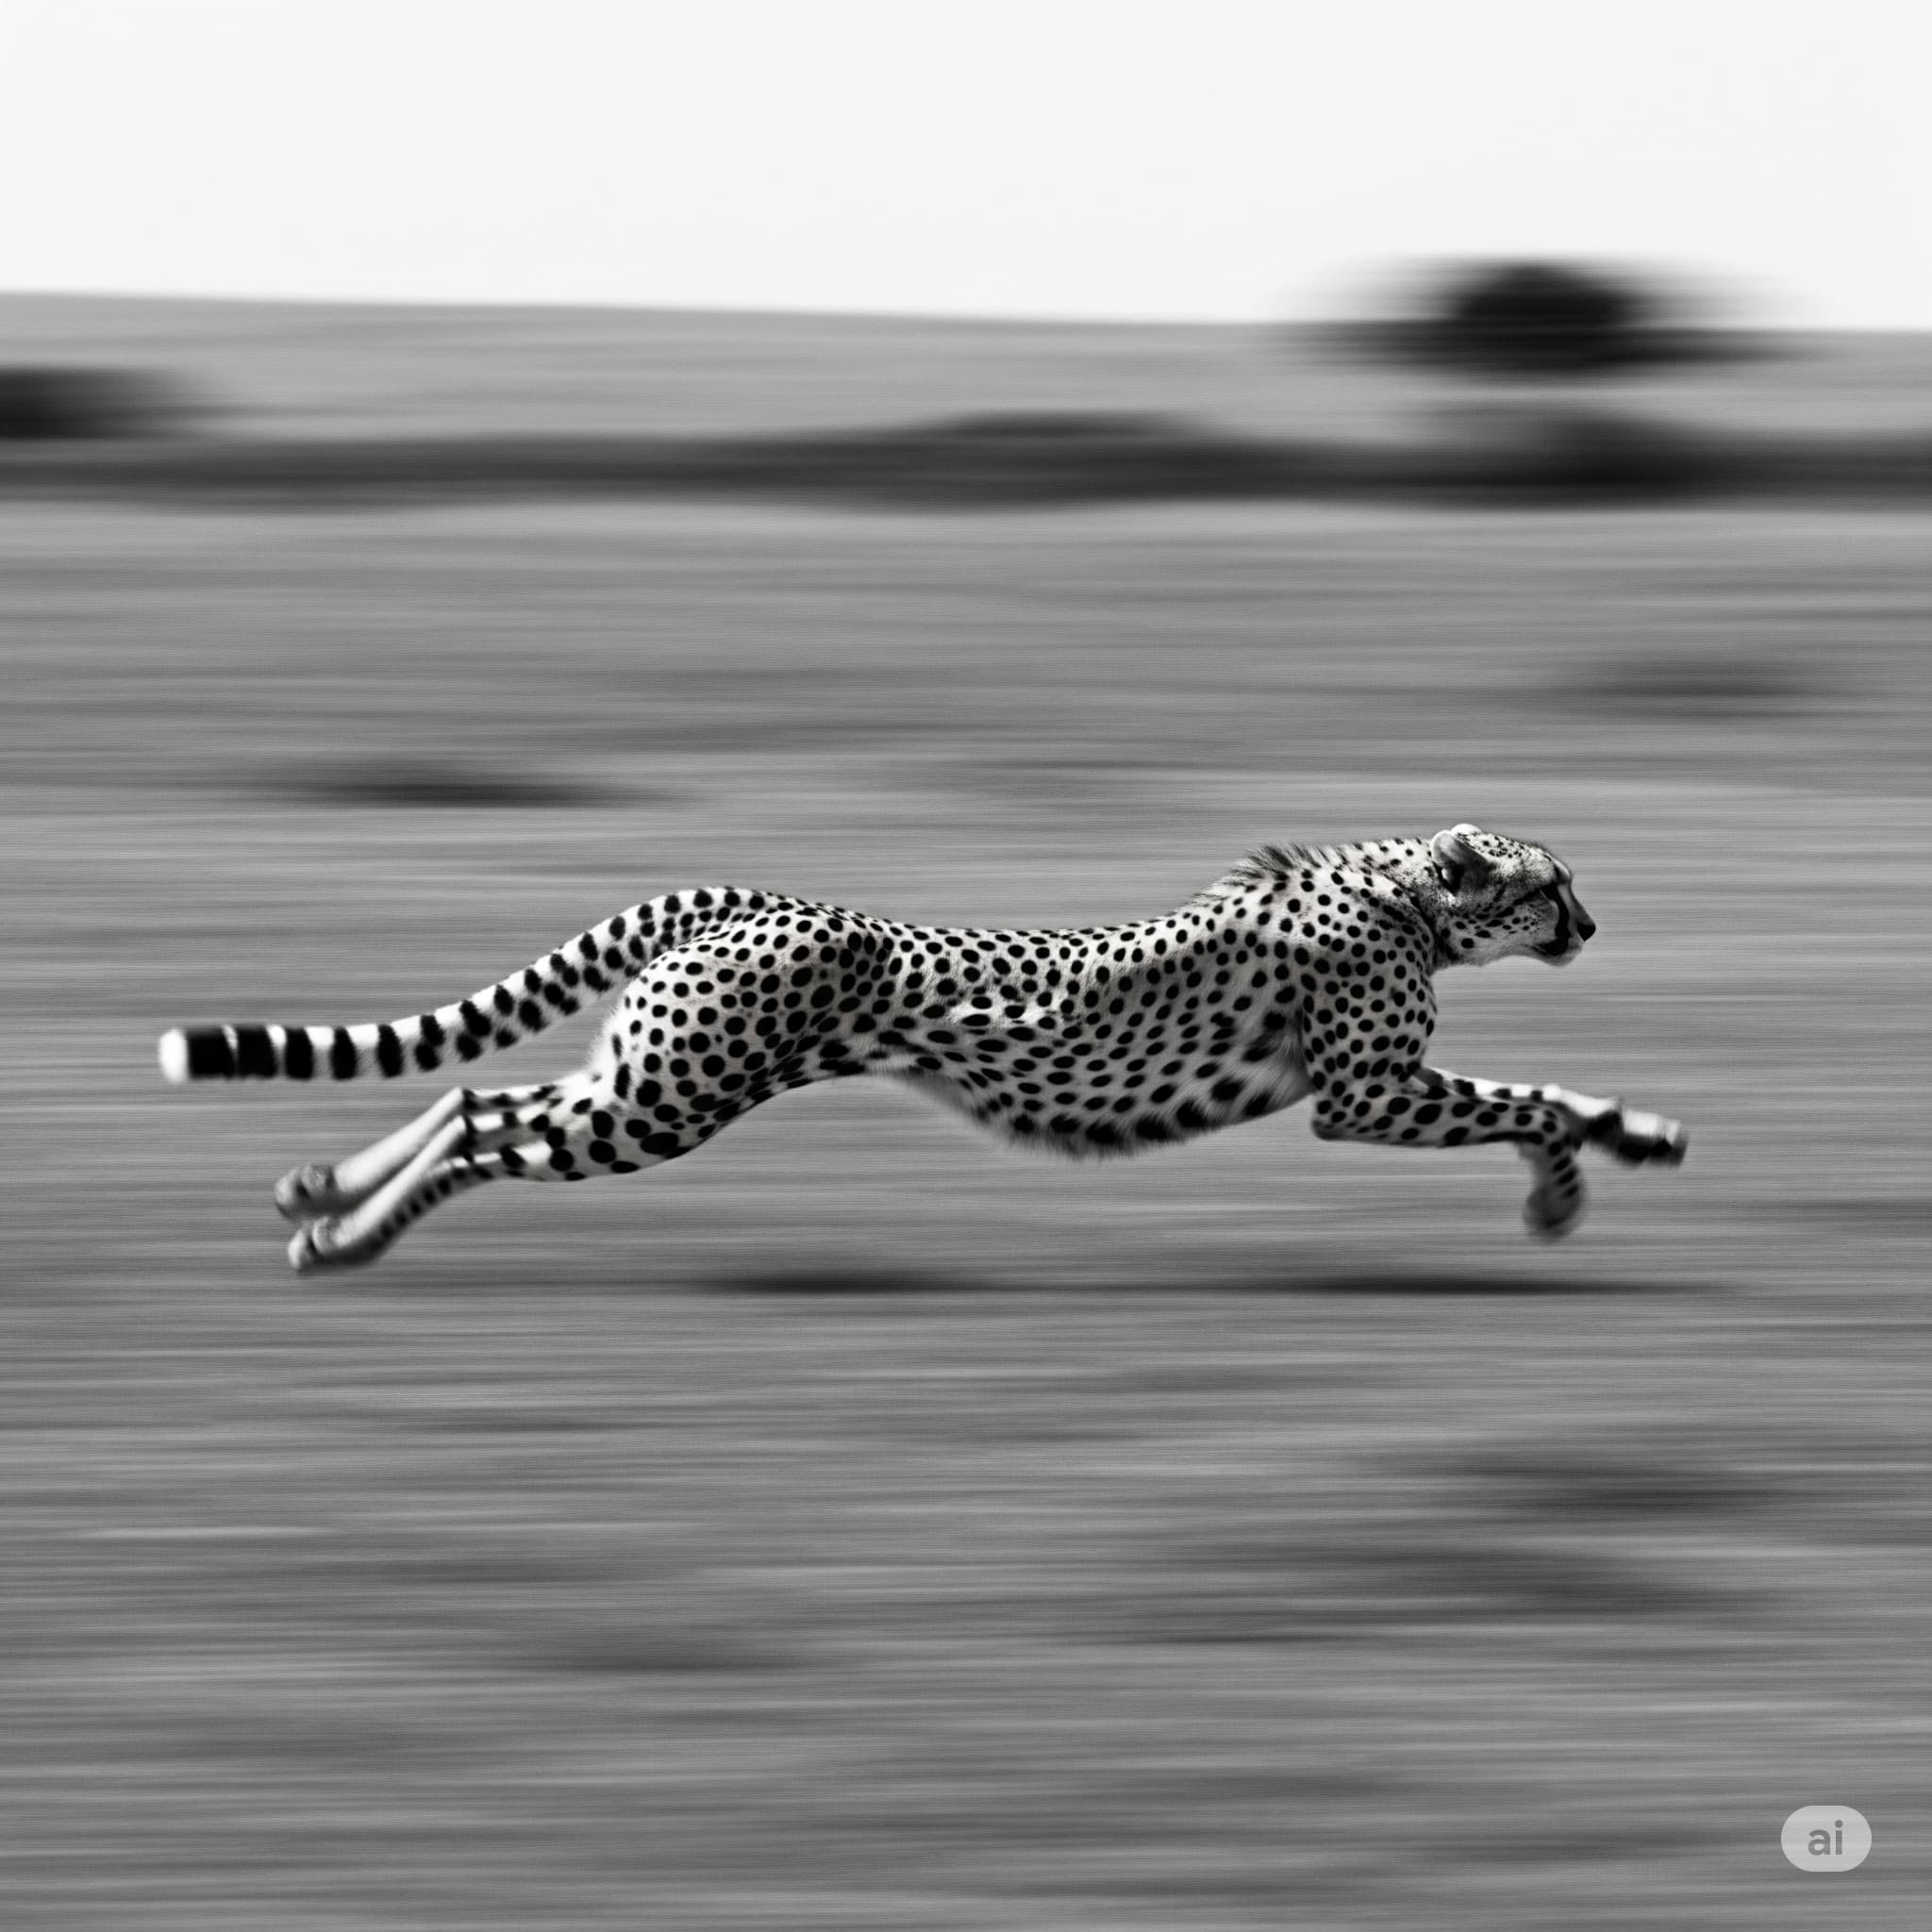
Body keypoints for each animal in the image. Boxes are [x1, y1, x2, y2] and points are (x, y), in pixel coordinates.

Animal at [157, 824, 1687, 1273]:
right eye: (1550, 885)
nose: (1591, 923)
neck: (1406, 896)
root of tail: (763, 894)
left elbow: (1563, 1093)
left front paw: (1639, 1137)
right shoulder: (1361, 1096)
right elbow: (1527, 1096)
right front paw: (1561, 1191)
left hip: (650, 1072)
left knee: (481, 1087)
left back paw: (318, 1197)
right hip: (664, 1099)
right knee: (486, 1118)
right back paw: (340, 1240)